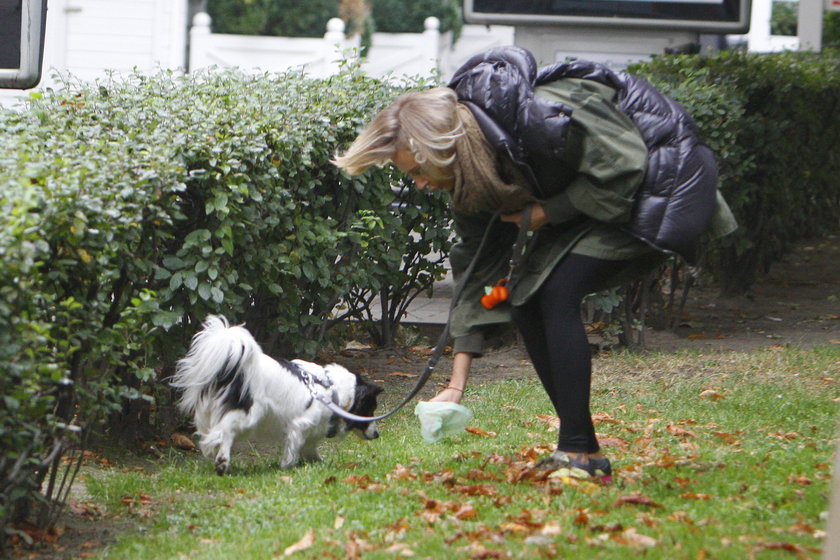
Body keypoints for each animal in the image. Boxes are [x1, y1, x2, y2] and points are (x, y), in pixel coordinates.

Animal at [171, 316, 380, 472]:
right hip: (249, 416)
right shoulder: (300, 426)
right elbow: (293, 450)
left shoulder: (311, 434)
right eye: (370, 411)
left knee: (210, 436)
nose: (377, 434)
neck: (332, 390)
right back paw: (222, 461)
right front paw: (288, 467)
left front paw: (320, 464)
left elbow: (311, 451)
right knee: (225, 431)